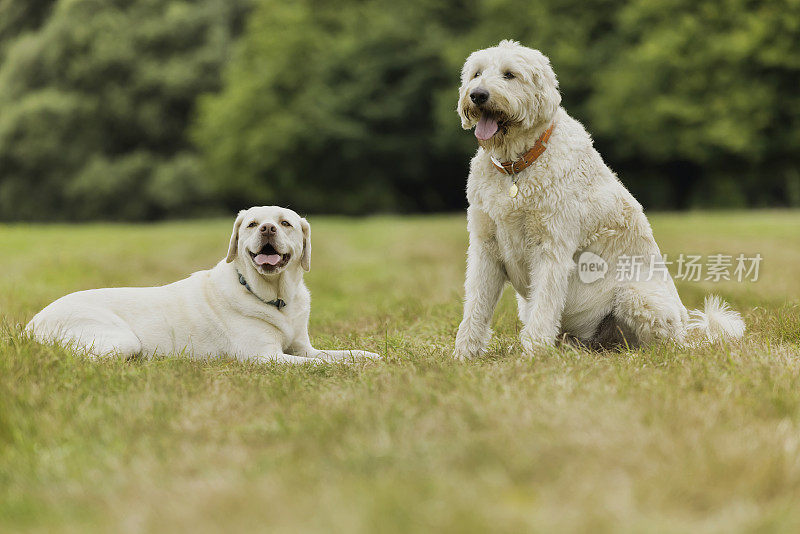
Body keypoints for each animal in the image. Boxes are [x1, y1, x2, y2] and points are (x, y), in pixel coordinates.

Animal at [454, 40, 748, 360]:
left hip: (636, 294)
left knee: (662, 345)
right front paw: (464, 354)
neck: (516, 167)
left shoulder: (551, 249)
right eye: (476, 73)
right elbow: (475, 307)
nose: (478, 95)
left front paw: (532, 356)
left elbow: (544, 309)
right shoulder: (485, 247)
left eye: (509, 74)